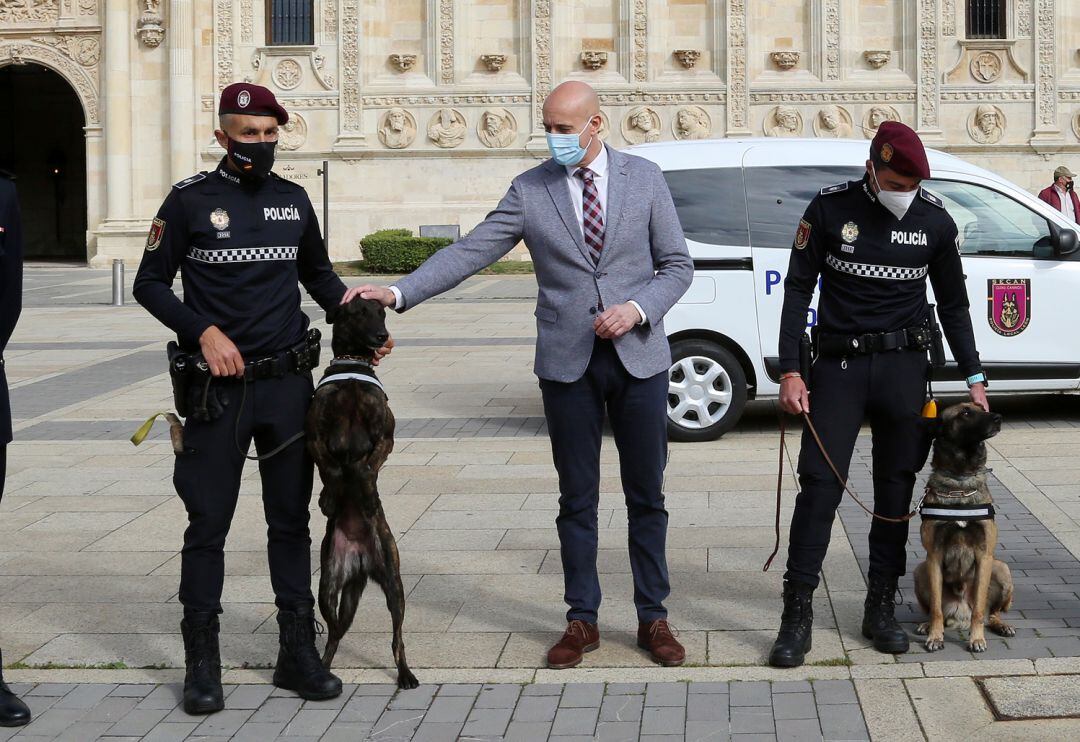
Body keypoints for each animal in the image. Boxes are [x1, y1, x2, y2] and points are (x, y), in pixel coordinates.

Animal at [308, 295, 421, 691]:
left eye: (382, 312)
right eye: (358, 313)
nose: (382, 336)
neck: (352, 365)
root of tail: (359, 562)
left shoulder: (385, 436)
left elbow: (366, 469)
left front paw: (368, 496)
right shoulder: (316, 434)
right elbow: (330, 468)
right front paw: (329, 499)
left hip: (394, 585)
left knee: (397, 638)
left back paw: (405, 674)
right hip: (328, 585)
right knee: (333, 632)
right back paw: (323, 670)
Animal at [915, 403, 1015, 652]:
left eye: (981, 408)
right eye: (966, 413)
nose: (998, 417)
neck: (960, 484)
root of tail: (960, 615)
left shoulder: (984, 555)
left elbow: (979, 609)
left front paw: (977, 639)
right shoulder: (934, 556)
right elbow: (936, 609)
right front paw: (935, 637)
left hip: (1001, 568)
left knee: (991, 614)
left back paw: (1001, 625)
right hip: (920, 570)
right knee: (935, 610)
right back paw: (926, 625)